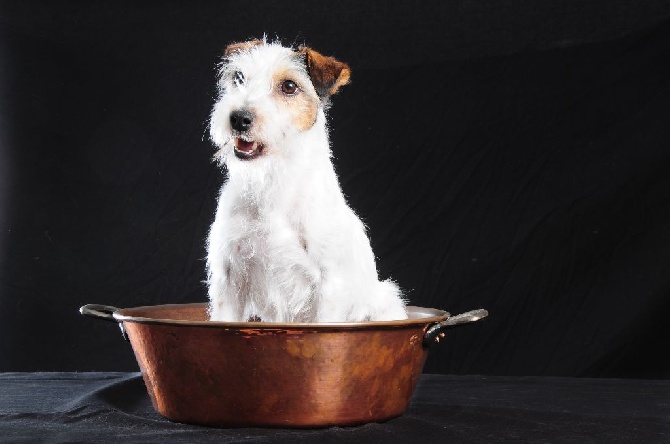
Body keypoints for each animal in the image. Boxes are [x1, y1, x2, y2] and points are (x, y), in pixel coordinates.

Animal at [207, 38, 406, 322]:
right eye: (239, 77)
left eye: (289, 86)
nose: (239, 118)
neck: (273, 180)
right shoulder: (229, 275)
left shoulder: (329, 285)